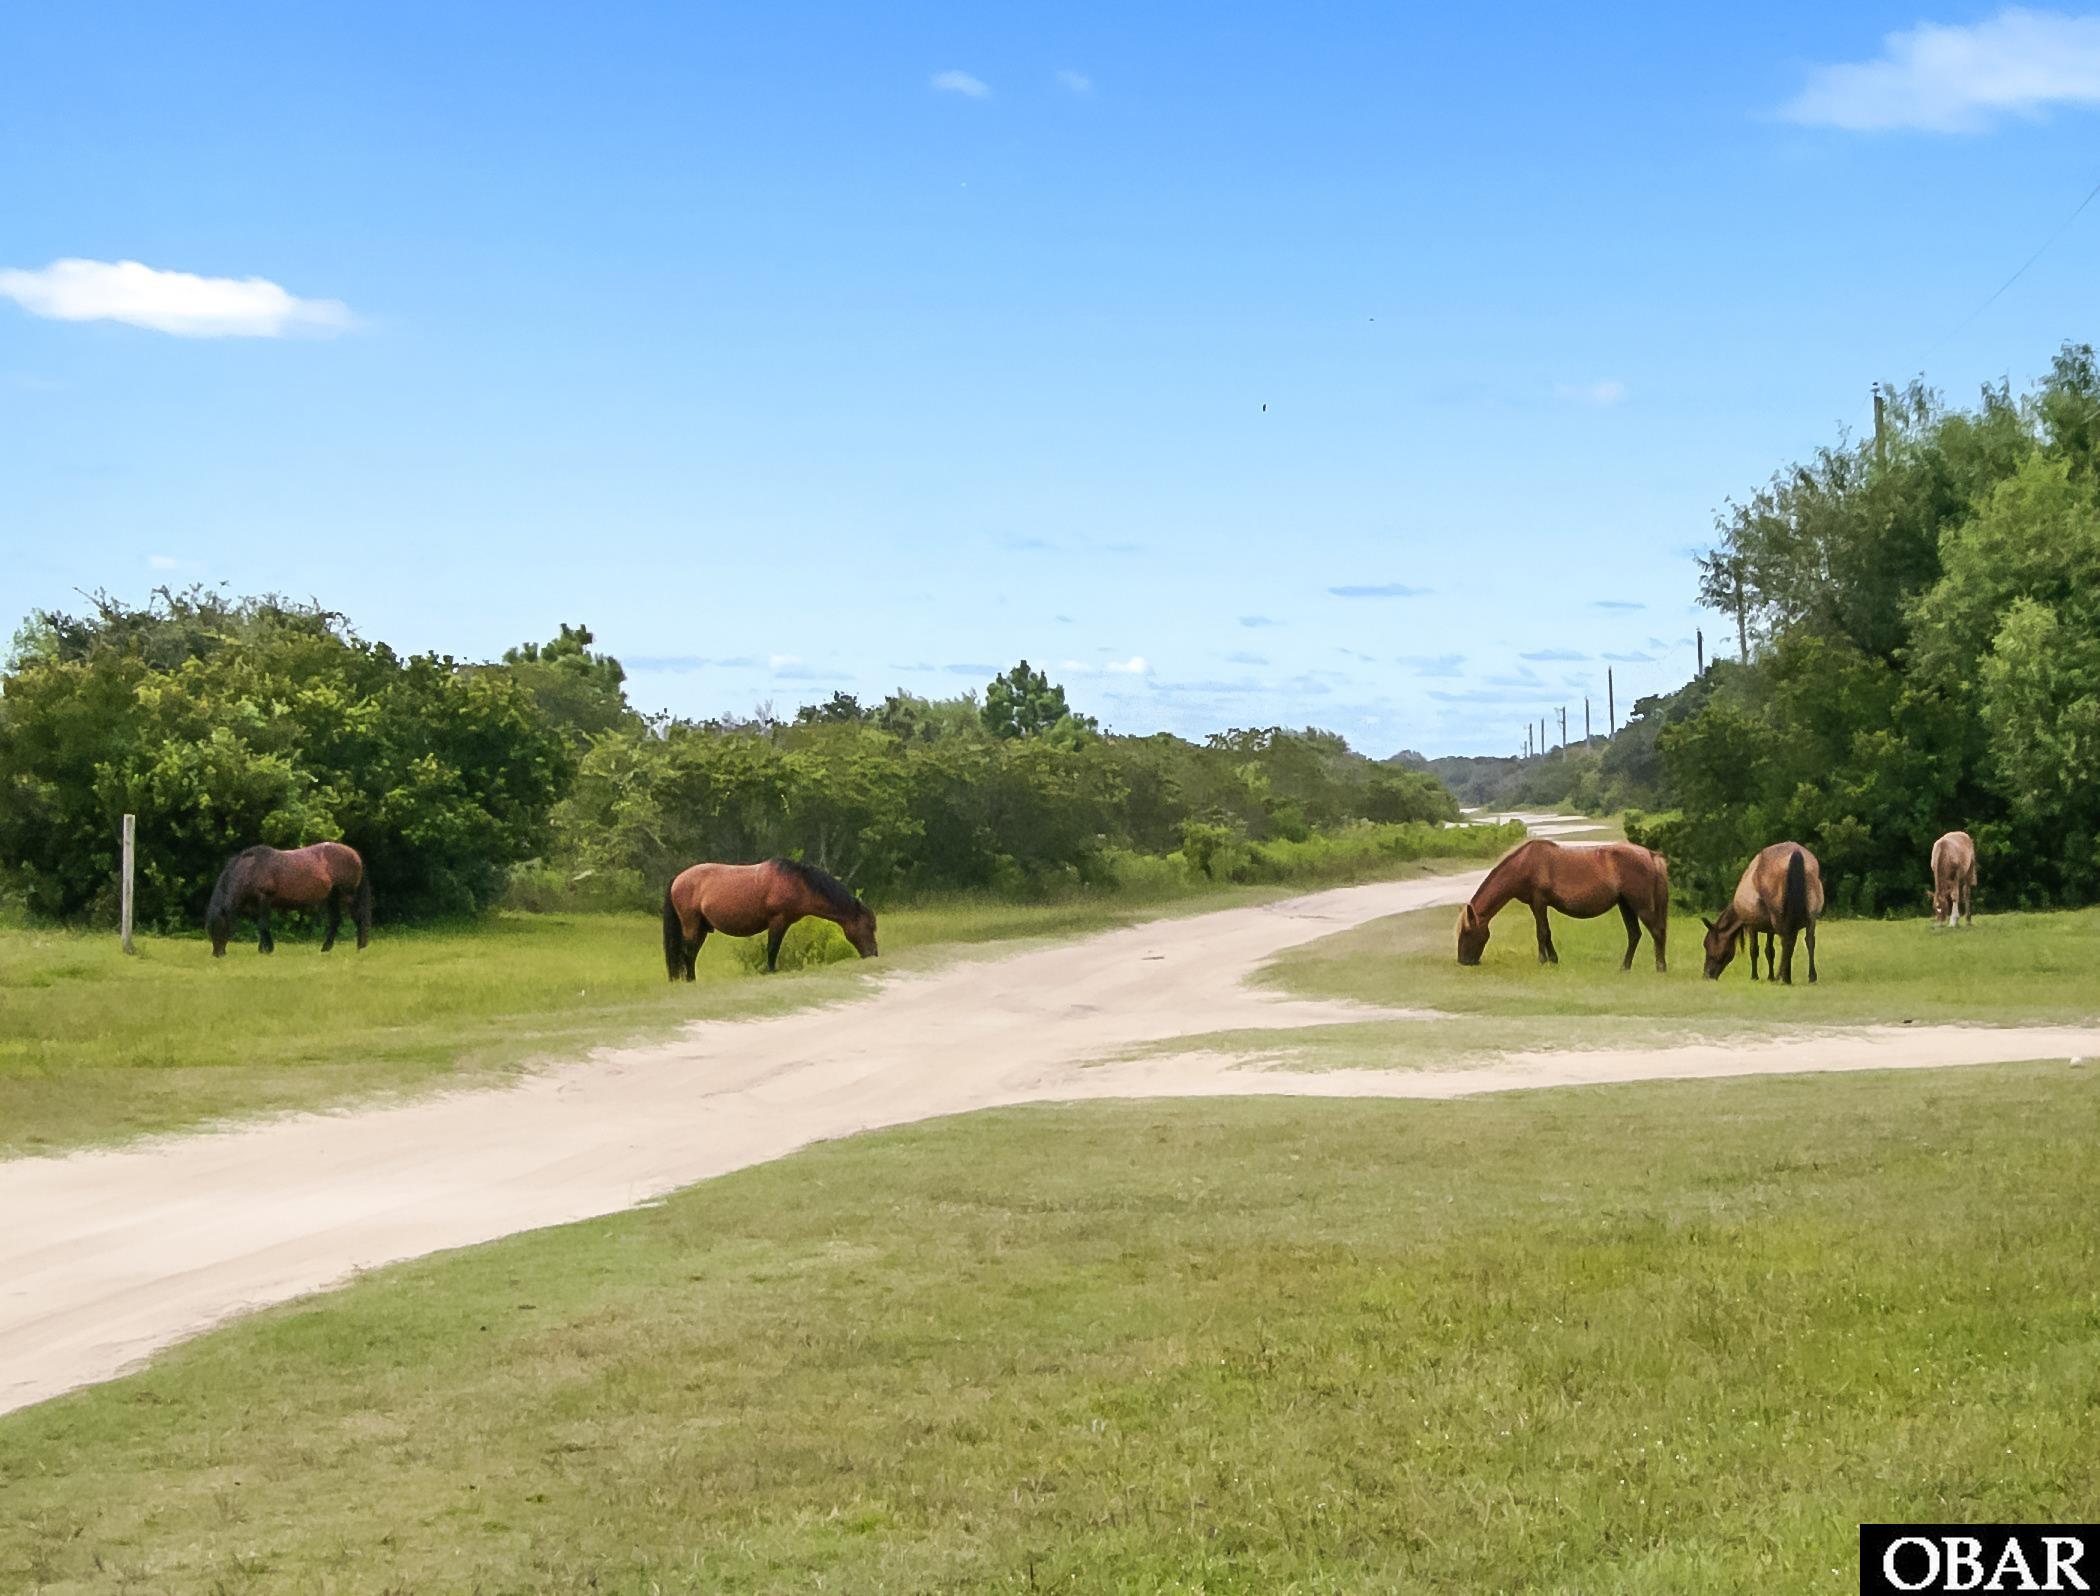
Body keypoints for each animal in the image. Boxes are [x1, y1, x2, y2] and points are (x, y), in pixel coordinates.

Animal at [206, 841, 372, 957]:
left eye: (221, 927)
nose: (217, 954)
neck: (251, 869)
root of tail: (354, 854)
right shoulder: (253, 907)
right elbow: (261, 926)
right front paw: (264, 948)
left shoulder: (264, 899)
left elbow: (263, 925)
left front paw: (267, 949)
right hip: (332, 898)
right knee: (335, 921)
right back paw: (325, 949)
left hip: (348, 896)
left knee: (358, 918)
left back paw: (360, 947)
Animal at [662, 856, 878, 980]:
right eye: (868, 925)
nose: (873, 954)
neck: (795, 882)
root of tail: (678, 878)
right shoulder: (777, 921)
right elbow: (772, 948)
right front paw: (771, 971)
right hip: (691, 925)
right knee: (688, 953)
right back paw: (691, 980)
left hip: (701, 928)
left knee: (691, 954)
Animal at [1455, 839, 1670, 971]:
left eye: (1467, 932)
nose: (1464, 961)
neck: (1525, 864)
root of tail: (1651, 855)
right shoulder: (1537, 905)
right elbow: (1547, 932)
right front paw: (1553, 960)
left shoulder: (1539, 902)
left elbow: (1541, 932)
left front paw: (1542, 961)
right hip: (1625, 905)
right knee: (1634, 935)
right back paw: (1624, 968)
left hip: (1641, 906)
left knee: (1657, 932)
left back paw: (1660, 968)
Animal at [1701, 841, 1822, 984]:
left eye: (1707, 944)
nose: (1707, 975)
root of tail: (1796, 853)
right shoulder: (1770, 928)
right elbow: (1770, 951)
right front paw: (1770, 977)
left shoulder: (1751, 925)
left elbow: (1754, 950)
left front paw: (1755, 977)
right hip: (1810, 917)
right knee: (1809, 941)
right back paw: (1810, 977)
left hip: (1780, 918)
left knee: (1787, 942)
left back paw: (1784, 978)